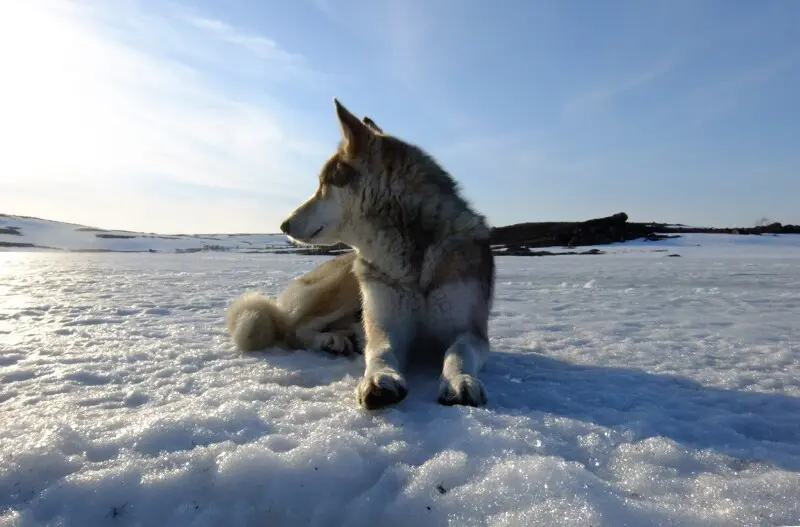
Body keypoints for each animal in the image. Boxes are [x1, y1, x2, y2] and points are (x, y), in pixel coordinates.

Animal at [280, 100, 494, 412]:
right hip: (347, 287)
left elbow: (459, 351)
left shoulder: (470, 330)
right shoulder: (387, 323)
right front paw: (380, 379)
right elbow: (380, 351)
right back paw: (331, 340)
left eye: (323, 185)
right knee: (296, 328)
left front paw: (460, 381)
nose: (283, 225)